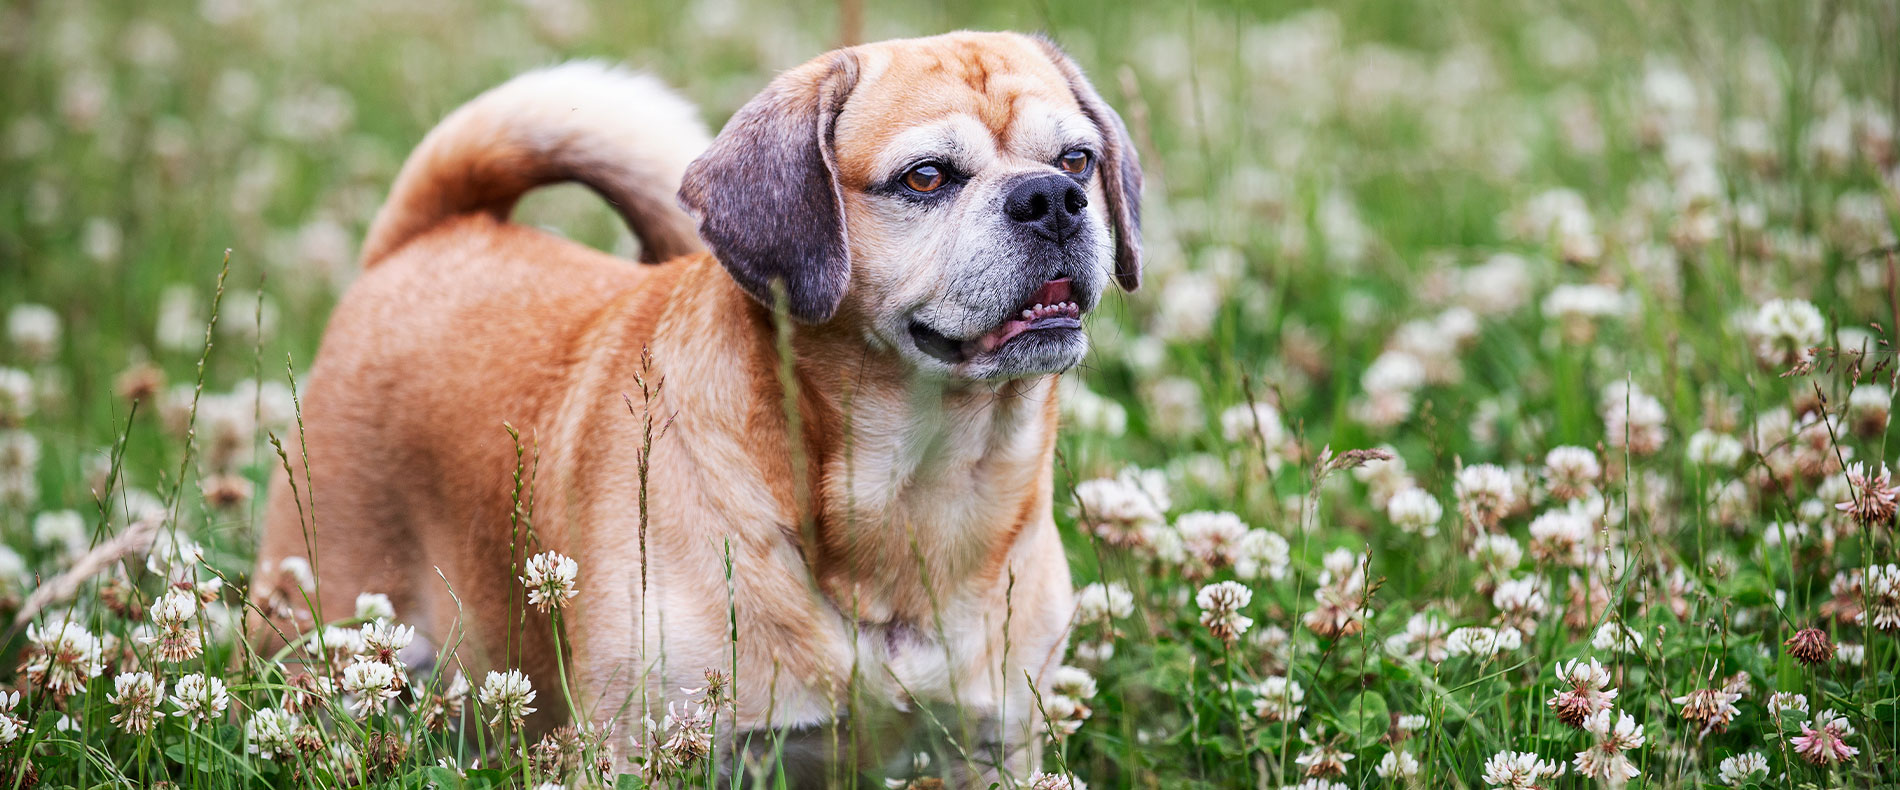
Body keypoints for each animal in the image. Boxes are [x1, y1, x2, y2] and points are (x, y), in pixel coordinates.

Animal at [252, 27, 1140, 782]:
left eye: (1078, 160)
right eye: (926, 177)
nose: (1051, 198)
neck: (917, 493)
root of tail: (427, 236)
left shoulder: (993, 749)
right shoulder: (641, 747)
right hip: (324, 626)